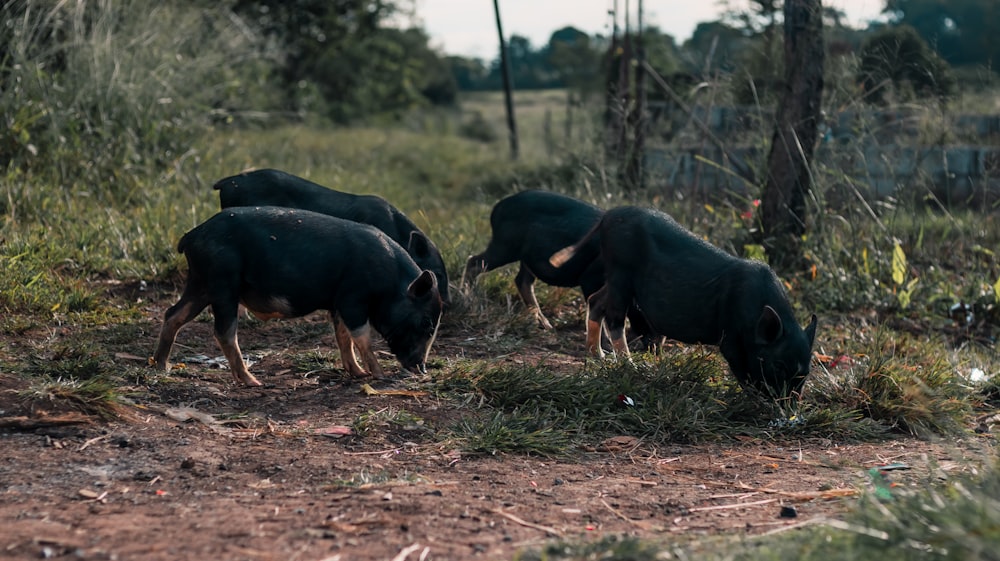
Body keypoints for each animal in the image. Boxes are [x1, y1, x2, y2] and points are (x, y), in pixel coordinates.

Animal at [152, 206, 442, 384]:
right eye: (427, 323)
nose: (422, 369)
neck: (390, 283)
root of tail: (192, 236)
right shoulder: (353, 297)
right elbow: (361, 336)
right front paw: (380, 375)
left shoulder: (338, 302)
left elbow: (343, 337)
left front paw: (357, 374)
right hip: (222, 283)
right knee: (224, 331)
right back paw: (253, 382)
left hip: (200, 283)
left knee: (173, 315)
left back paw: (161, 366)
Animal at [552, 206, 816, 398]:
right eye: (779, 366)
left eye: (805, 373)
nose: (788, 407)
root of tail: (609, 215)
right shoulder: (730, 335)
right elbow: (740, 367)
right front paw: (755, 399)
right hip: (620, 272)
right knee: (614, 317)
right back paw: (630, 365)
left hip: (616, 278)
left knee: (596, 301)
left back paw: (598, 356)